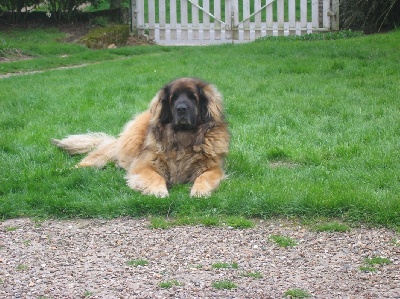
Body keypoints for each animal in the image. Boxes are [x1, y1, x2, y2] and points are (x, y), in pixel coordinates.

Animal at [51, 78, 230, 198]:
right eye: (174, 98)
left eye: (193, 97)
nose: (181, 109)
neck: (183, 137)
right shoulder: (144, 165)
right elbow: (155, 177)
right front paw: (159, 192)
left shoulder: (213, 168)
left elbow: (204, 177)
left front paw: (199, 191)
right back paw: (66, 170)